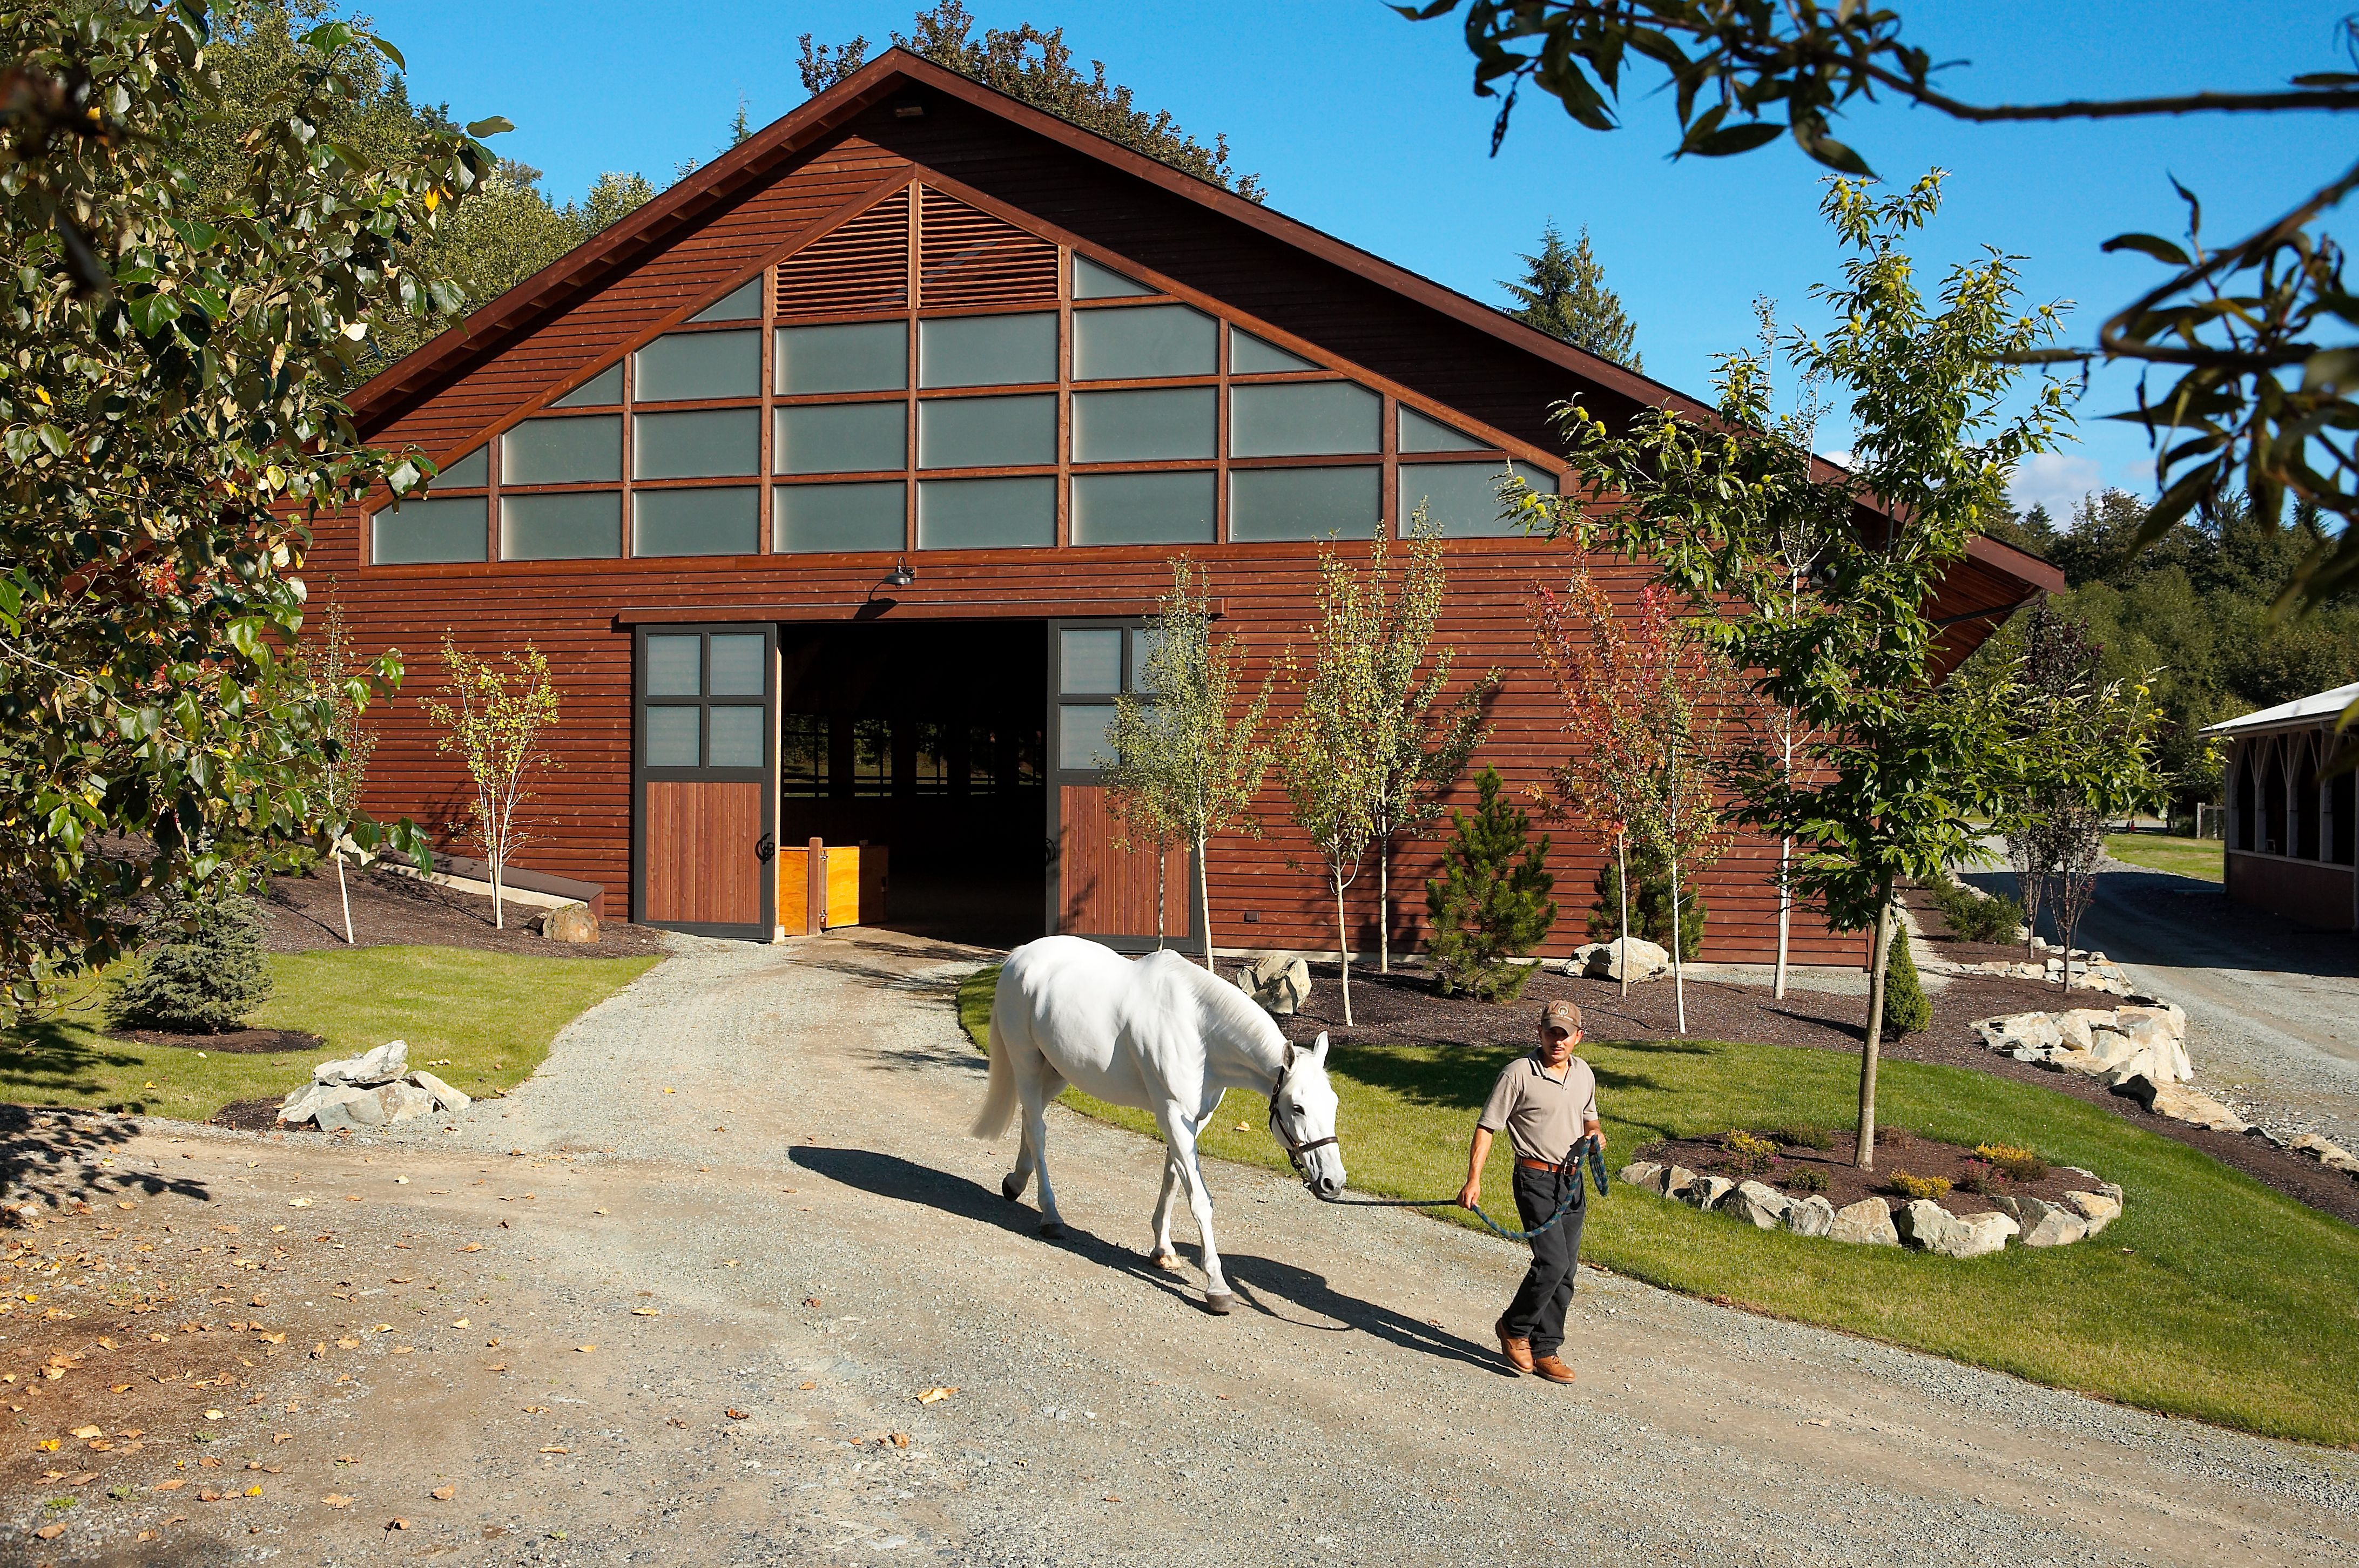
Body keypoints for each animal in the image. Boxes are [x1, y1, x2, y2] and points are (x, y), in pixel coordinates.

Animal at [972, 929, 1349, 1311]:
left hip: (1059, 1069)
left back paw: (1015, 1183)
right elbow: (1199, 1199)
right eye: (1298, 1107)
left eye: (1333, 1103)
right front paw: (1217, 1287)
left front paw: (1163, 1251)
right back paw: (1051, 1216)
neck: (1200, 1032)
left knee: (1029, 1118)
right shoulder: (1173, 1114)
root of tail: (1019, 956)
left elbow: (1172, 1181)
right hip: (1027, 1063)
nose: (1333, 1181)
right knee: (1037, 1129)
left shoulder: (1192, 1120)